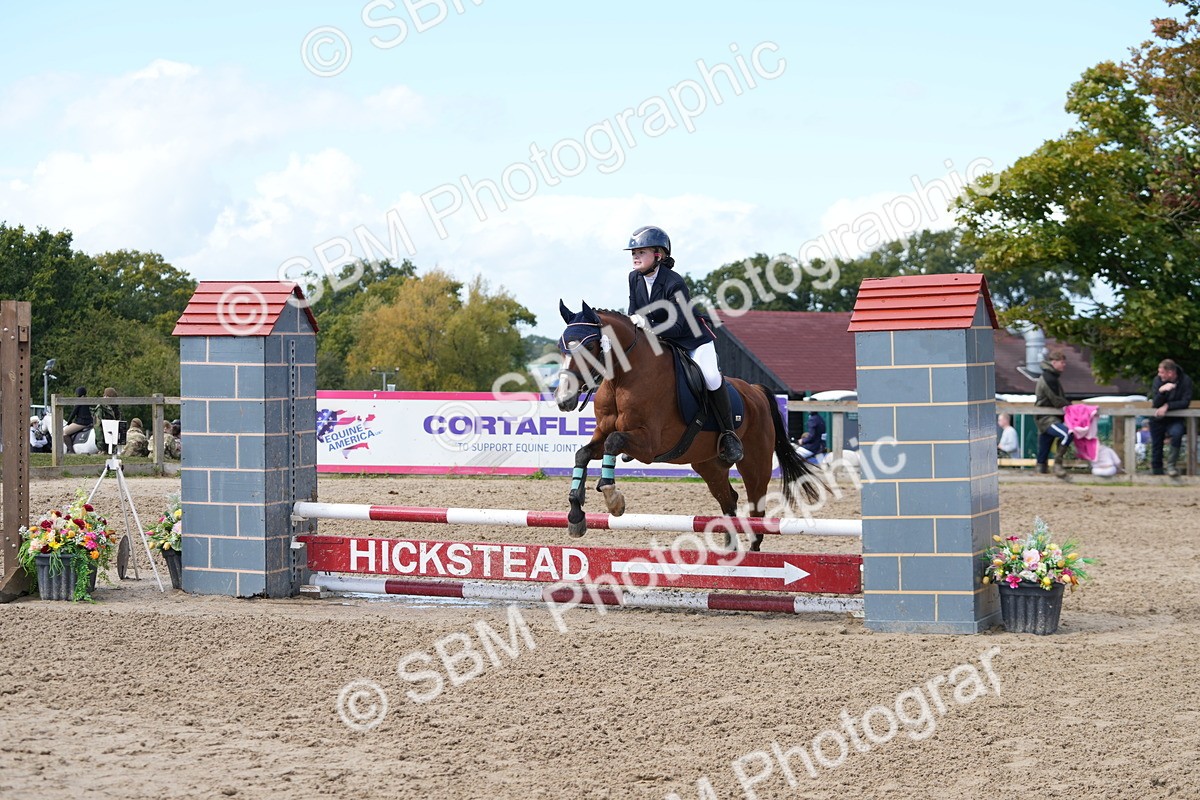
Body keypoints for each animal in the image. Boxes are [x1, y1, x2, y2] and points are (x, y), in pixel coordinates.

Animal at [554, 301, 824, 551]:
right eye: (561, 347)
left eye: (589, 346)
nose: (564, 400)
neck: (622, 378)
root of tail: (755, 390)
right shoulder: (603, 434)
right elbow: (583, 454)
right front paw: (576, 514)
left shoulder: (649, 444)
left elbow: (614, 441)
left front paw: (613, 498)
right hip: (709, 465)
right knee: (729, 499)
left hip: (755, 464)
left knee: (757, 512)